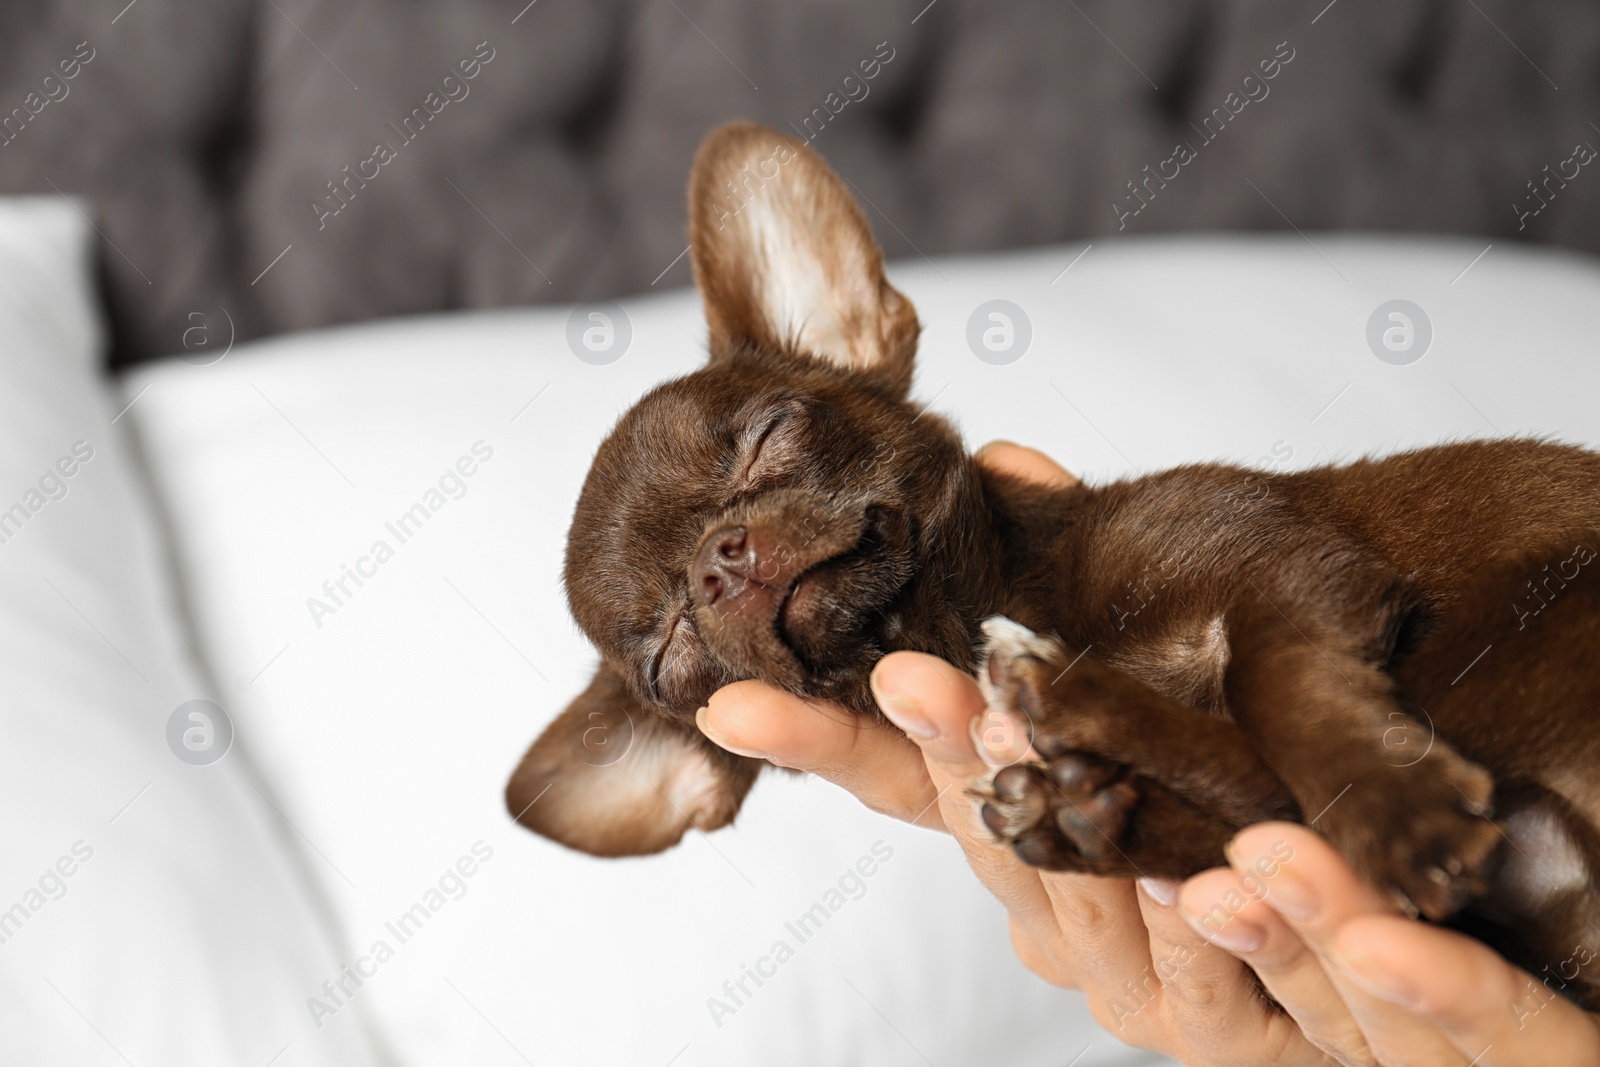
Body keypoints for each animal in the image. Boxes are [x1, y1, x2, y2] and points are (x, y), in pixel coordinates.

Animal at [505, 125, 1600, 1011]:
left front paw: (1394, 810)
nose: (714, 567)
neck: (980, 606)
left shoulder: (1279, 559)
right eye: (667, 659)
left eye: (770, 434)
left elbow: (1276, 672)